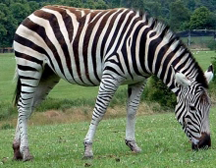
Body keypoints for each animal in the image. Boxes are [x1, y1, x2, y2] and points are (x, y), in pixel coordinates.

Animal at [12, 4, 213, 161]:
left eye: (210, 107)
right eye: (193, 108)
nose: (206, 145)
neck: (143, 48)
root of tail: (35, 12)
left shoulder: (139, 80)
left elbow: (132, 111)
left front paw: (132, 144)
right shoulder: (111, 75)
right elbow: (99, 111)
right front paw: (88, 148)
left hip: (48, 74)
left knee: (27, 107)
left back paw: (17, 150)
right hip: (30, 65)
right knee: (23, 107)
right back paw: (26, 152)